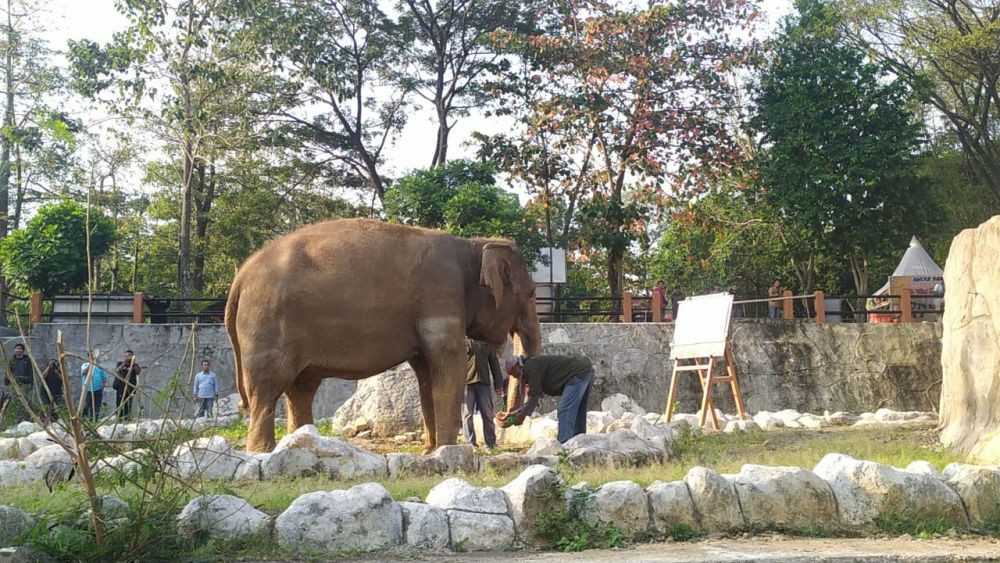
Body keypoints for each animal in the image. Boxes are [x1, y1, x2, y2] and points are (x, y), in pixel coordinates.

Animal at [224, 218, 544, 452]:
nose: (504, 416)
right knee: (267, 390)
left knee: (300, 389)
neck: (474, 245)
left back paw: (300, 444)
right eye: (531, 293)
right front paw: (447, 451)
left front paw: (431, 451)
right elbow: (448, 369)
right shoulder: (441, 297)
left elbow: (427, 376)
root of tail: (239, 277)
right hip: (266, 327)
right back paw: (263, 452)